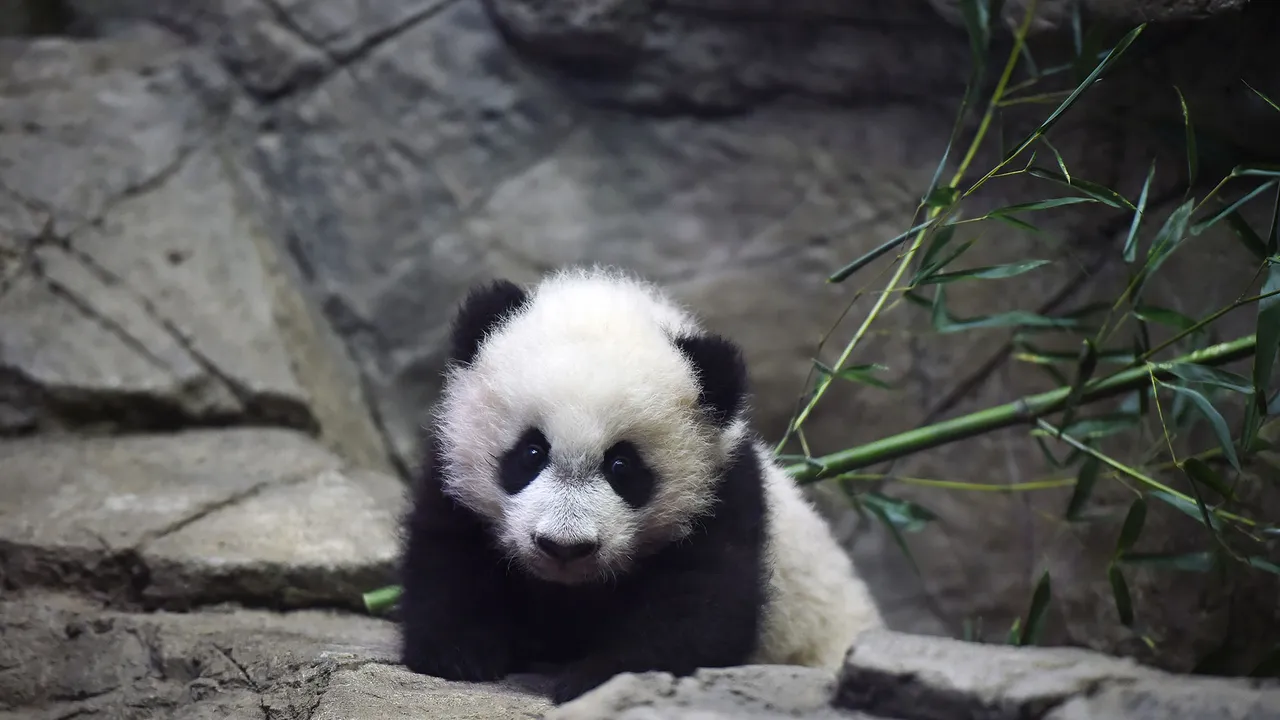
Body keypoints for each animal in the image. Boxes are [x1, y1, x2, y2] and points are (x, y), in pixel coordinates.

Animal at [398, 266, 883, 704]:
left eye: (622, 466)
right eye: (531, 452)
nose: (563, 547)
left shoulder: (723, 494)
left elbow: (699, 607)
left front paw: (597, 677)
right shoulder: (452, 471)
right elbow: (447, 555)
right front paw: (460, 653)